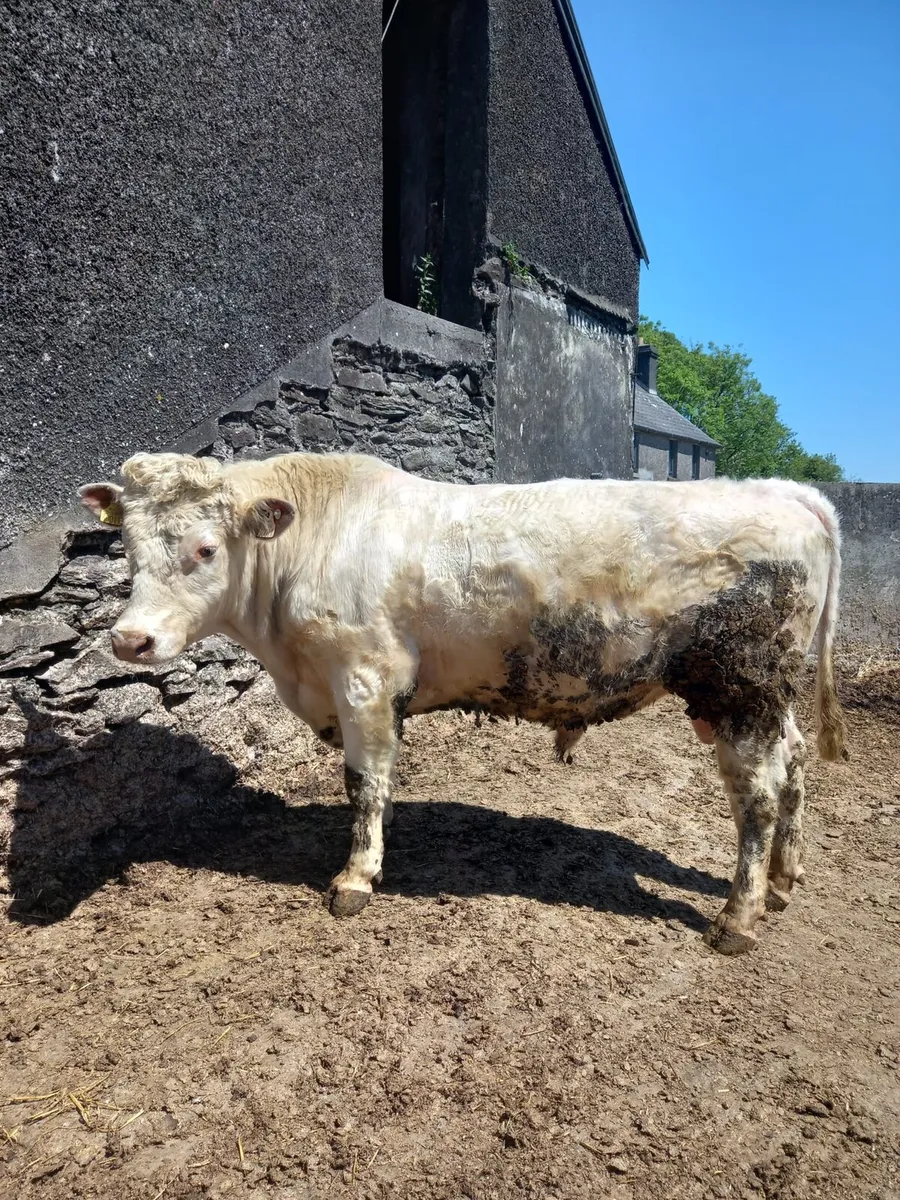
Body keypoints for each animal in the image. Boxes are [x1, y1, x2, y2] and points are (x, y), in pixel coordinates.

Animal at [78, 451, 846, 955]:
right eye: (128, 548)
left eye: (206, 549)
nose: (130, 639)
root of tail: (783, 493)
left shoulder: (365, 676)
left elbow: (365, 783)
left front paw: (356, 876)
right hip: (763, 697)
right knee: (796, 767)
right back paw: (784, 879)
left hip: (740, 690)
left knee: (759, 797)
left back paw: (737, 918)